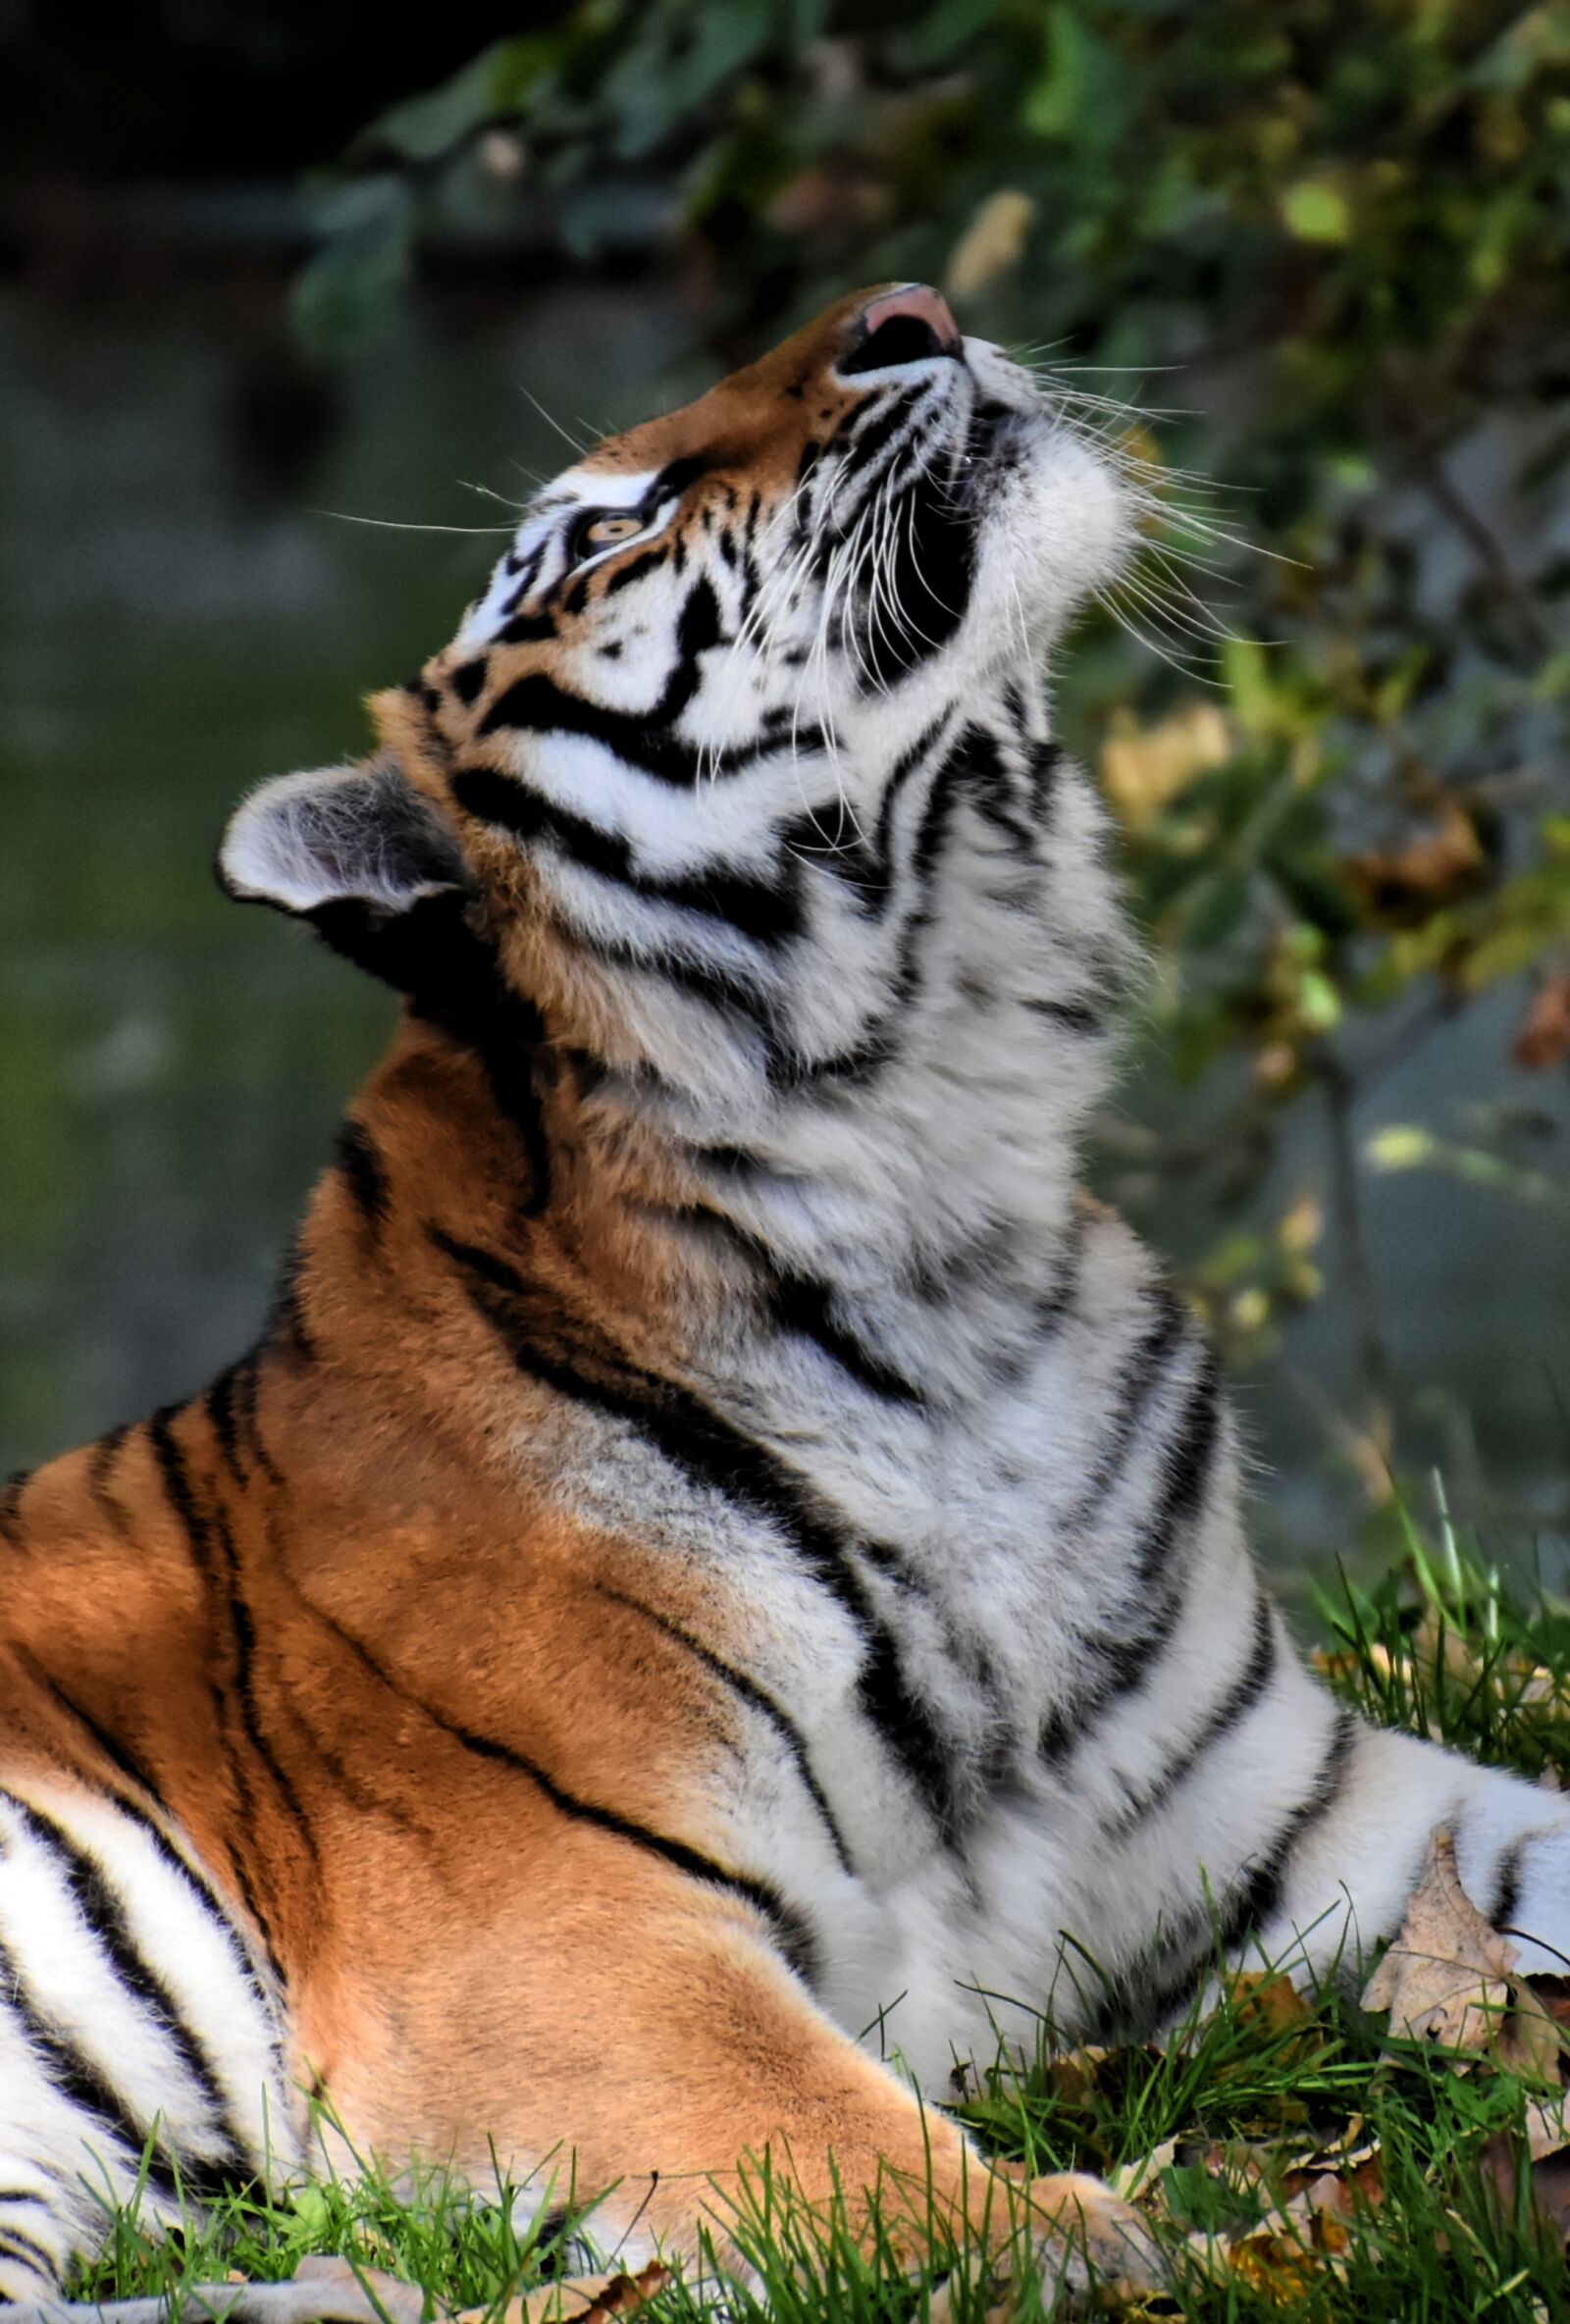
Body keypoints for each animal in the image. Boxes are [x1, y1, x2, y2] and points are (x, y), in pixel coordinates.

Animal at [3, 281, 1569, 2323]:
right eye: (610, 529)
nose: (912, 311)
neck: (936, 1197)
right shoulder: (562, 1918)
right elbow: (834, 2140)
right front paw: (1092, 2236)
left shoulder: (1304, 1811)